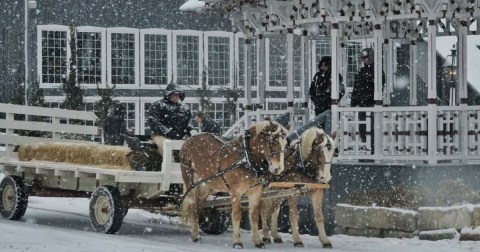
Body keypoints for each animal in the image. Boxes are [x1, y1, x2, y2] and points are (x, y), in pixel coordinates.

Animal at [178, 120, 286, 248]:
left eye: (285, 144)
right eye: (273, 142)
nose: (278, 169)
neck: (246, 157)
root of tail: (188, 141)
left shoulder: (255, 192)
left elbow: (254, 216)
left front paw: (258, 241)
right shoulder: (235, 192)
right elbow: (237, 215)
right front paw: (237, 242)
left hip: (206, 186)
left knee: (197, 207)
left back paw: (197, 233)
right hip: (190, 181)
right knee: (192, 205)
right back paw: (195, 236)